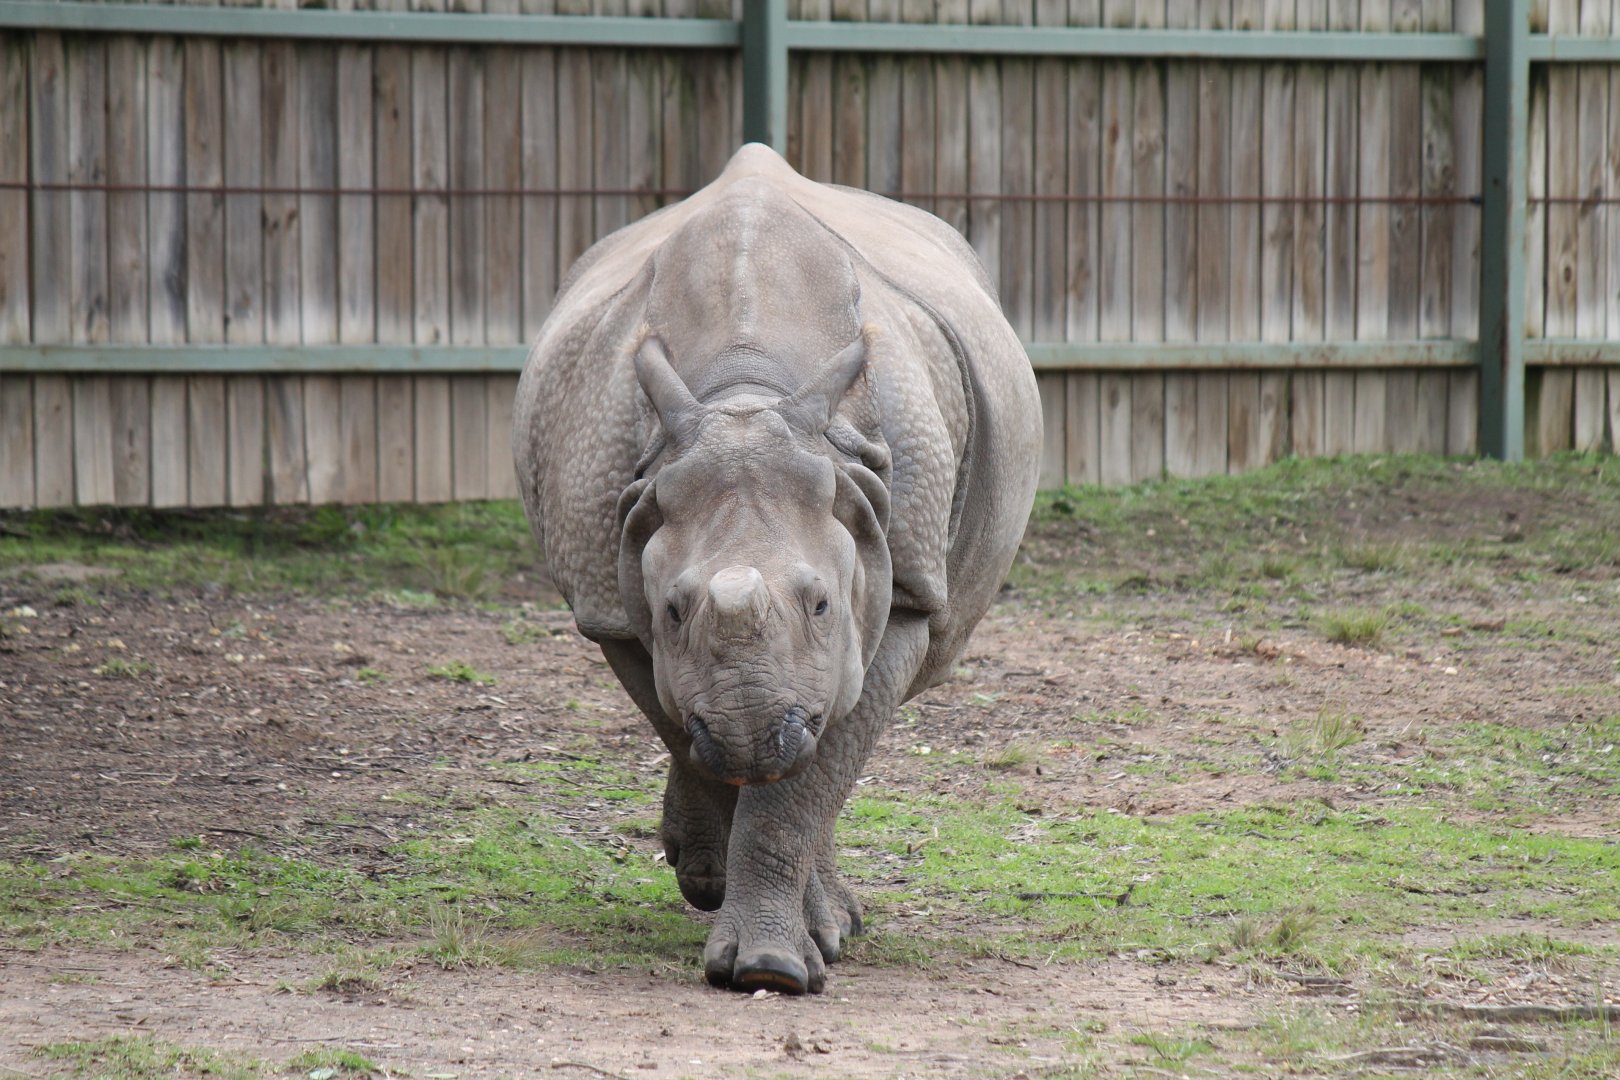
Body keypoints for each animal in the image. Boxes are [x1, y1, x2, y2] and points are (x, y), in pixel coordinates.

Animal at [512, 144, 1041, 994]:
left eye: (822, 605)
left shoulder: (904, 584)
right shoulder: (611, 603)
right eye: (672, 611)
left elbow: (808, 781)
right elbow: (694, 737)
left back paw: (828, 917)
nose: (754, 735)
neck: (745, 393)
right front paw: (754, 929)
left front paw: (779, 966)